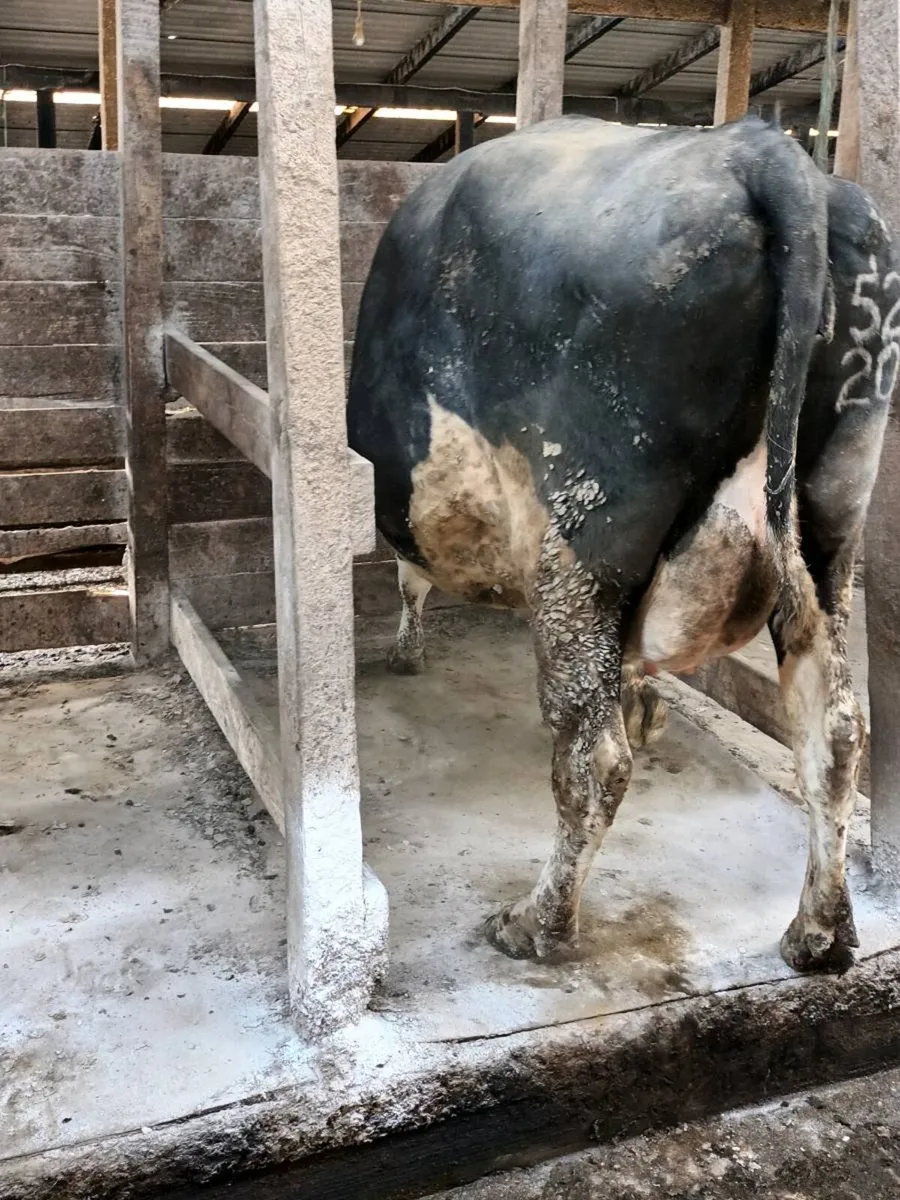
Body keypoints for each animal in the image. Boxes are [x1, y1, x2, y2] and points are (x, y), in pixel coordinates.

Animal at [346, 115, 896, 974]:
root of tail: (754, 146)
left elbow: (410, 580)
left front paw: (405, 652)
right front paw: (645, 702)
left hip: (584, 534)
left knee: (592, 756)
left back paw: (537, 925)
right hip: (831, 528)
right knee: (833, 727)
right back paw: (819, 933)